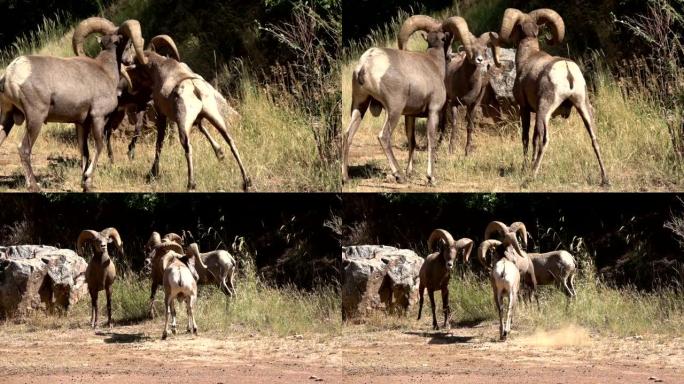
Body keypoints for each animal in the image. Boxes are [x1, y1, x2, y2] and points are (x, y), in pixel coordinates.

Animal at [0, 17, 146, 191]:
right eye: (129, 44)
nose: (130, 60)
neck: (106, 71)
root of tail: (11, 74)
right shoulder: (98, 117)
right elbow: (99, 145)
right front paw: (88, 180)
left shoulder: (81, 123)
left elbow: (85, 152)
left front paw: (84, 185)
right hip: (35, 119)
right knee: (24, 149)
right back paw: (34, 186)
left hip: (7, 118)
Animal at [342, 15, 460, 187]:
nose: (451, 55)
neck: (434, 64)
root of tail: (365, 64)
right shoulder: (433, 111)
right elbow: (430, 140)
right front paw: (431, 178)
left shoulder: (409, 115)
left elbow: (412, 141)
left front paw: (410, 172)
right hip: (393, 110)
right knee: (383, 136)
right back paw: (399, 175)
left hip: (359, 105)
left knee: (347, 135)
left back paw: (345, 178)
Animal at [496, 7, 608, 184]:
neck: (528, 57)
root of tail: (567, 70)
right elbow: (534, 139)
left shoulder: (525, 109)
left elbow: (526, 138)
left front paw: (525, 168)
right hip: (583, 107)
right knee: (595, 140)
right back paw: (605, 179)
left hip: (545, 111)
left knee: (545, 140)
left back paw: (532, 176)